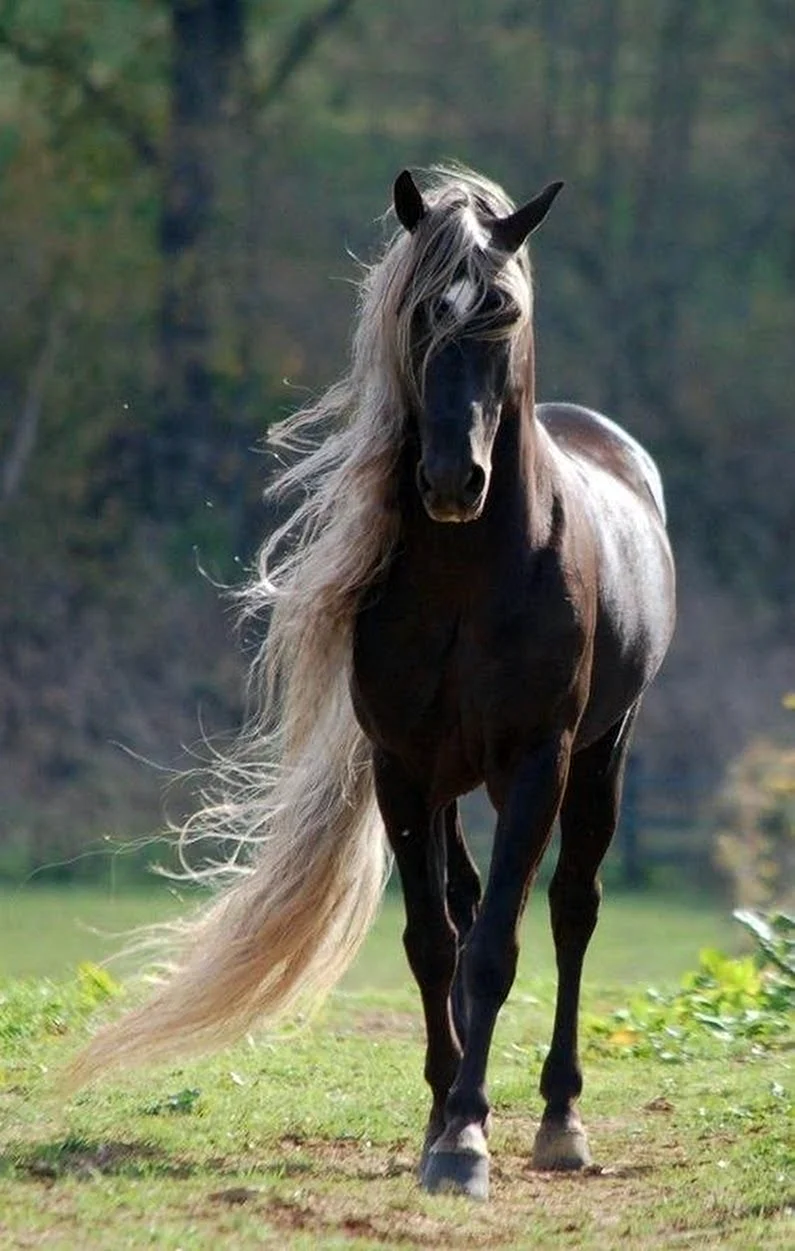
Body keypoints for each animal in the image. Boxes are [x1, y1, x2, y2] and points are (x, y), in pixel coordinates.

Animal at [71, 163, 676, 1200]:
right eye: (420, 314)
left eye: (500, 312)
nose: (452, 480)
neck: (471, 576)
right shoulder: (403, 765)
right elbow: (433, 941)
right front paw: (446, 1115)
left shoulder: (536, 762)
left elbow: (498, 946)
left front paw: (469, 1138)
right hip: (453, 782)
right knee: (469, 905)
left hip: (602, 752)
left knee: (570, 909)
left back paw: (558, 1116)